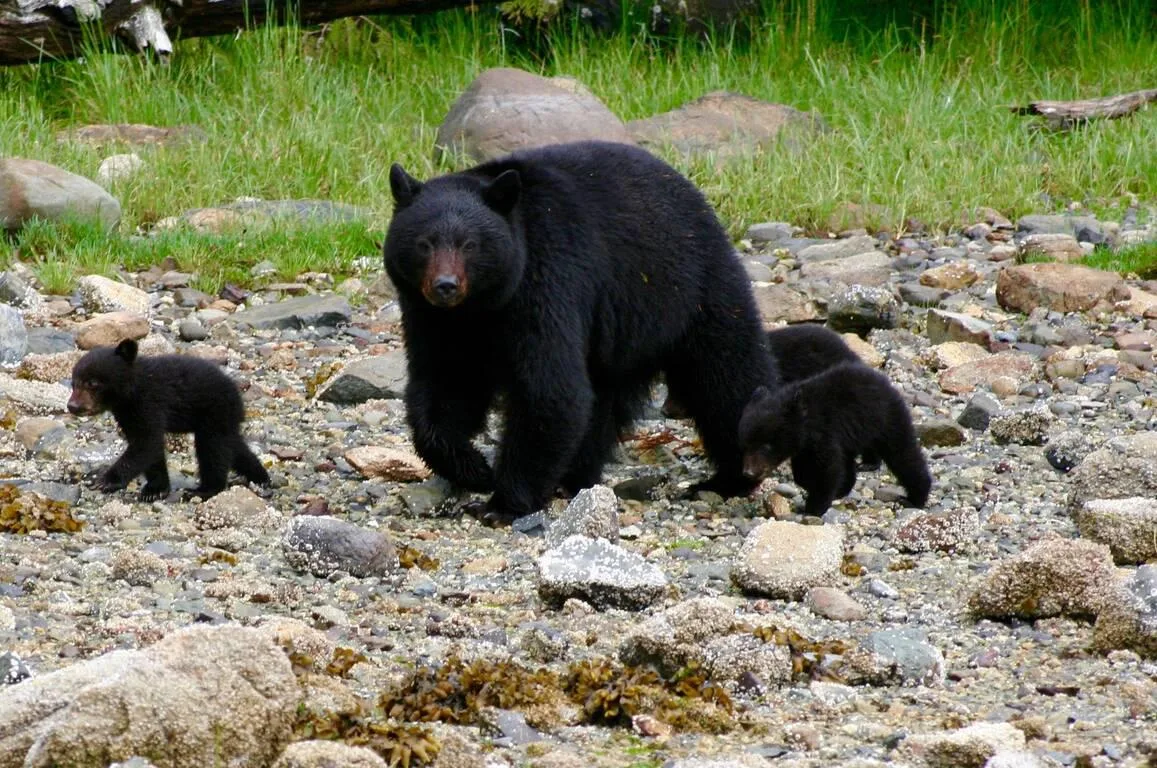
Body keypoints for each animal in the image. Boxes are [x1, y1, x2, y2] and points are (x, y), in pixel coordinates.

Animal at [67, 339, 270, 501]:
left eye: (92, 383)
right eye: (73, 383)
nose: (72, 406)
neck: (131, 391)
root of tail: (238, 395)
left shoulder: (149, 403)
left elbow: (147, 442)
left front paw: (107, 480)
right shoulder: (127, 414)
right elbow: (150, 448)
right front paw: (155, 489)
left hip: (215, 412)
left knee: (213, 449)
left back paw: (205, 489)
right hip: (224, 419)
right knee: (234, 446)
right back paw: (261, 478)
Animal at [383, 140, 778, 524]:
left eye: (469, 244)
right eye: (424, 243)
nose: (445, 286)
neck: (480, 309)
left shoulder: (547, 280)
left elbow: (550, 389)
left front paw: (502, 504)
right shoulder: (432, 319)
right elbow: (444, 385)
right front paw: (474, 469)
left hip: (692, 290)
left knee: (727, 379)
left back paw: (729, 478)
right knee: (602, 401)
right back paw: (576, 477)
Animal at [738, 362, 931, 517]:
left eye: (766, 446)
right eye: (745, 444)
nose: (748, 472)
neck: (806, 421)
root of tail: (886, 383)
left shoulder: (825, 433)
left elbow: (828, 468)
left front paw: (814, 507)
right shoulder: (805, 446)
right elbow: (803, 470)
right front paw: (812, 486)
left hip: (887, 420)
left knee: (903, 455)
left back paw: (915, 498)